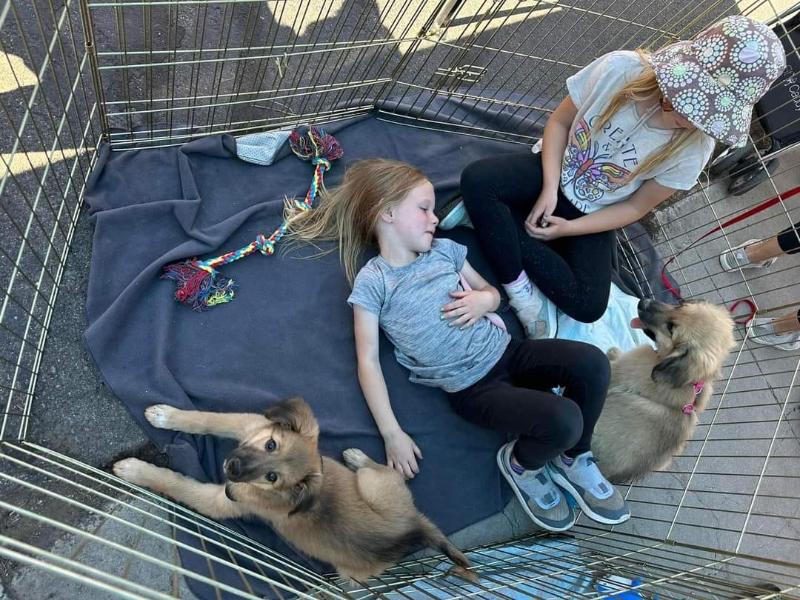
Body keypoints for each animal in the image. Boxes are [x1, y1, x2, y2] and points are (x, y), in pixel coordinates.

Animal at [112, 396, 476, 584]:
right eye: (271, 444)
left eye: (273, 477)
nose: (232, 468)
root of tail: (413, 528)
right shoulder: (247, 423)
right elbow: (204, 418)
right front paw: (165, 415)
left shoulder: (223, 501)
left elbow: (176, 483)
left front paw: (134, 470)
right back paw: (353, 456)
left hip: (366, 517)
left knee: (378, 471)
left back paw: (358, 457)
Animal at [592, 300, 736, 482]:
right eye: (680, 306)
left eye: (671, 328)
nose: (643, 302)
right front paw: (614, 351)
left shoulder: (620, 371)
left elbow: (613, 362)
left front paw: (612, 352)